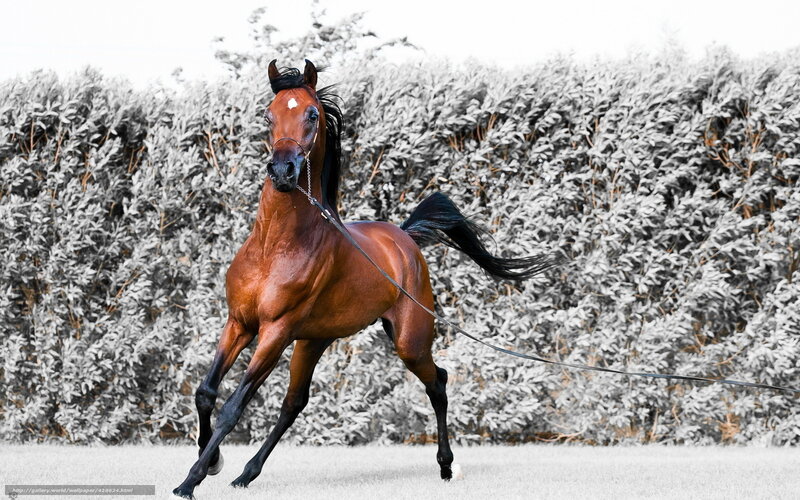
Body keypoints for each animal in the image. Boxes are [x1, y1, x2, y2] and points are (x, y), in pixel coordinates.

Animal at [172, 59, 553, 499]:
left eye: (312, 115)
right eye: (268, 115)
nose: (283, 171)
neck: (274, 247)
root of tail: (405, 237)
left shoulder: (274, 331)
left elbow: (233, 407)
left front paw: (190, 479)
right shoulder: (239, 322)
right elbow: (206, 392)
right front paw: (213, 462)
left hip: (408, 341)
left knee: (437, 383)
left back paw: (446, 467)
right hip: (313, 341)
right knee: (294, 403)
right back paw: (245, 474)